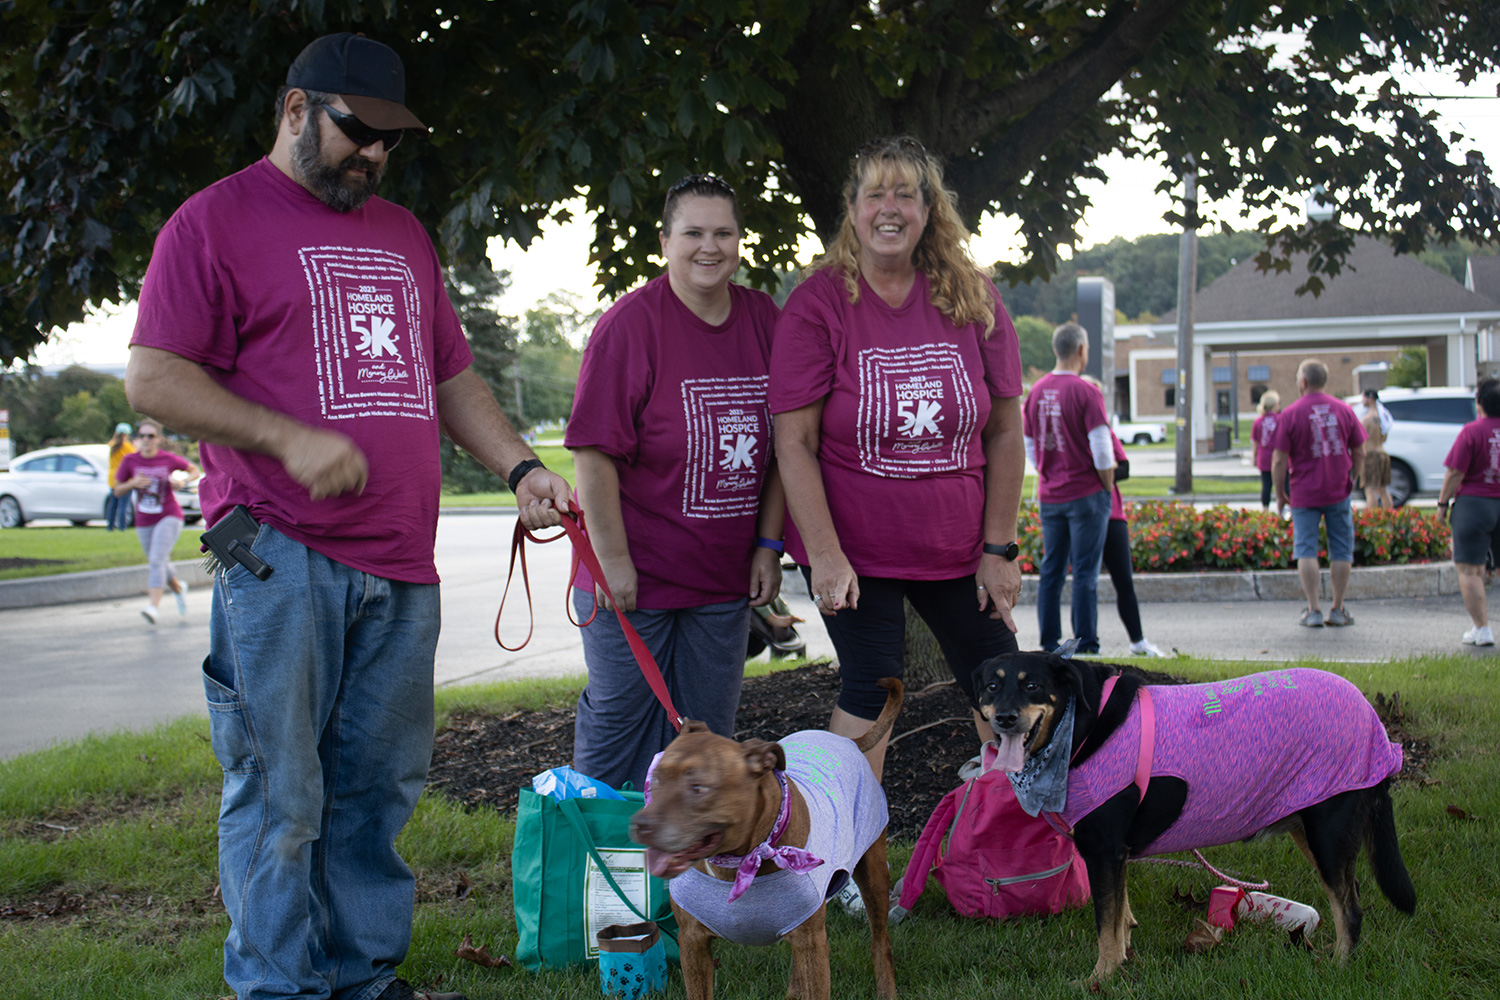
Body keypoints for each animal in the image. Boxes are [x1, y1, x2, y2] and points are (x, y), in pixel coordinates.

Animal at [629, 678, 903, 1000]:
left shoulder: (812, 941)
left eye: (698, 788)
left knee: (880, 942)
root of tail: (847, 740)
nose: (641, 825)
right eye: (657, 777)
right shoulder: (693, 942)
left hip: (873, 873)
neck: (742, 860)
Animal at [974, 652, 1415, 982]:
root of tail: (1377, 727)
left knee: (1349, 910)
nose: (1005, 717)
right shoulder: (1117, 855)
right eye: (993, 686)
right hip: (1311, 828)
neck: (1078, 727)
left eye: (1032, 685)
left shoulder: (1102, 851)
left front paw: (1100, 977)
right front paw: (1123, 955)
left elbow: (1105, 928)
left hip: (1327, 829)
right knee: (1349, 894)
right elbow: (1120, 917)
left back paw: (1337, 966)